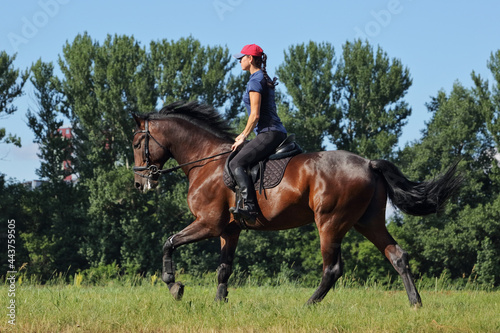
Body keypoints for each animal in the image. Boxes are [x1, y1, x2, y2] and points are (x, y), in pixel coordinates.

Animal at [132, 101, 460, 306]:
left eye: (137, 144)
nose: (139, 182)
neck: (206, 161)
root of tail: (368, 163)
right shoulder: (229, 230)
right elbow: (224, 268)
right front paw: (219, 303)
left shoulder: (208, 224)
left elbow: (169, 242)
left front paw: (174, 285)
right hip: (368, 221)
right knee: (398, 256)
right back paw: (416, 303)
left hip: (330, 222)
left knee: (332, 269)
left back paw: (309, 304)